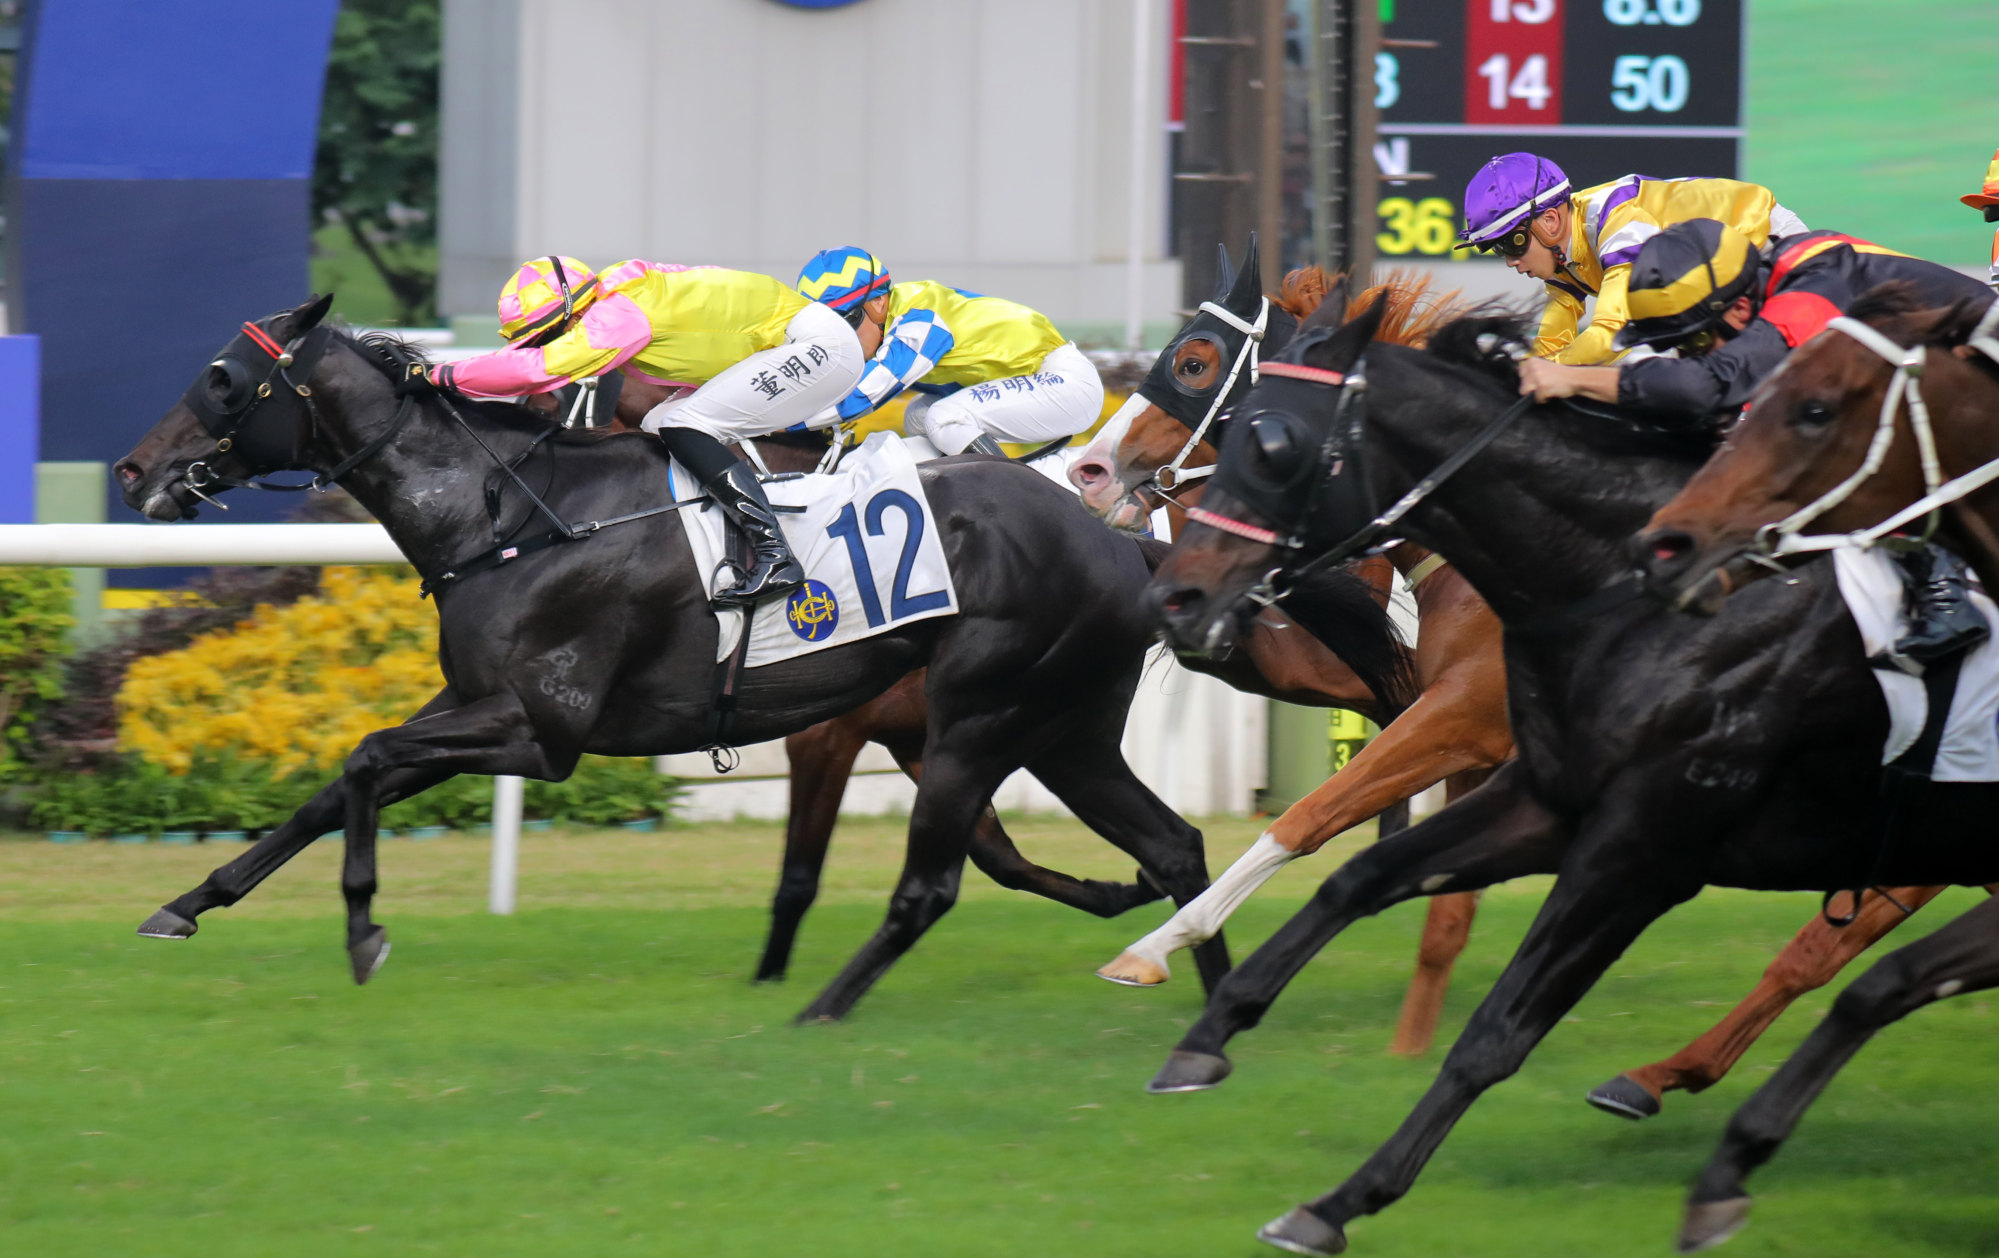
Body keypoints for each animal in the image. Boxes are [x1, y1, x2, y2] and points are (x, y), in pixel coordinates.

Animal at [109, 296, 1375, 1020]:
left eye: (223, 377)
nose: (132, 469)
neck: (510, 513)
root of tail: (1124, 541)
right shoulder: (477, 705)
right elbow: (336, 782)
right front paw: (186, 901)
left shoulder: (543, 729)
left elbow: (366, 759)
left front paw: (364, 928)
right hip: (1062, 729)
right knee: (1169, 846)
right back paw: (1191, 999)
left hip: (983, 713)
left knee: (945, 878)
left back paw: (831, 1008)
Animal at [1143, 300, 1999, 1248]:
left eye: (1270, 441)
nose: (1173, 595)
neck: (1621, 589)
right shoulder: (1540, 795)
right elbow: (1368, 881)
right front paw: (1213, 1030)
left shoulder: (1622, 836)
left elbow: (1485, 1014)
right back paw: (1662, 1083)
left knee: (1838, 963)